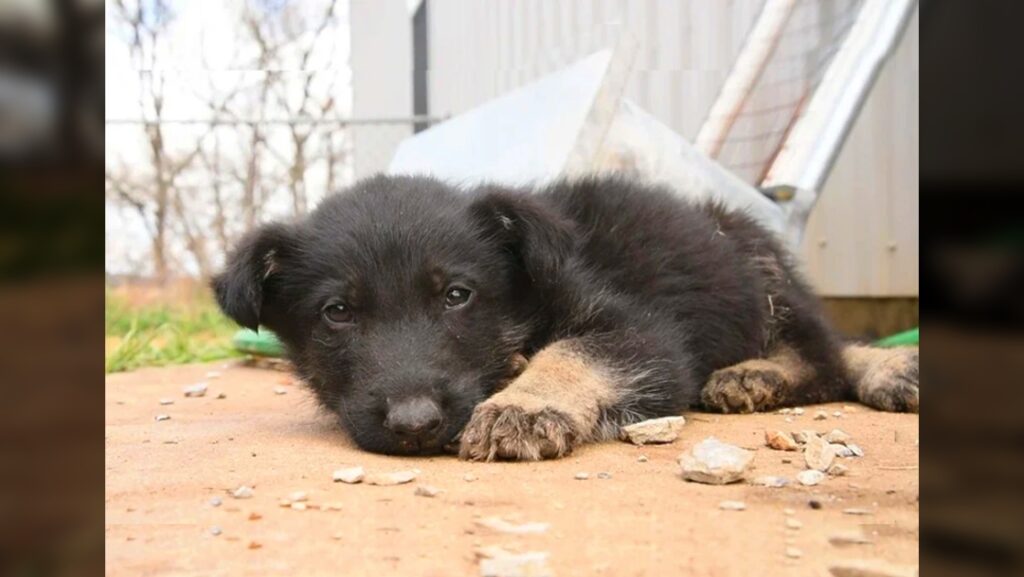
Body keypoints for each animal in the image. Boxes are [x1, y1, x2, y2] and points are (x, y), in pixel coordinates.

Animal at [216, 176, 921, 461]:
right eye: (337, 313)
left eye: (457, 296)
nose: (415, 426)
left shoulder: (642, 333)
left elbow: (573, 351)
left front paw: (524, 404)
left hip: (755, 264)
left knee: (827, 351)